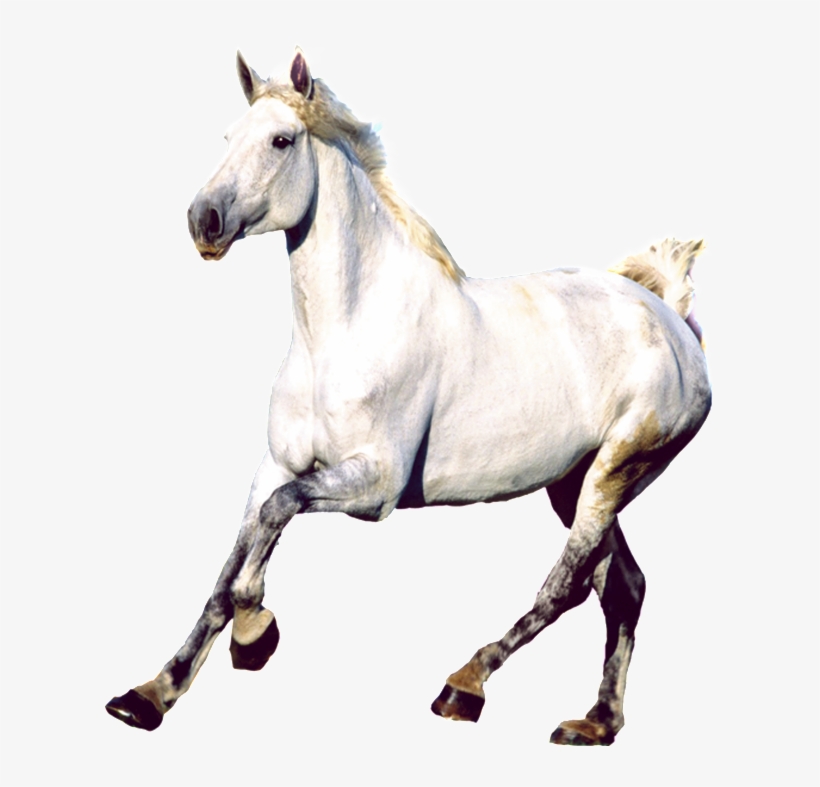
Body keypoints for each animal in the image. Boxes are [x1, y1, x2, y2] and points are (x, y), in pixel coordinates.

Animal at [105, 49, 711, 746]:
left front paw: (255, 633)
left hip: (617, 469)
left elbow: (274, 525)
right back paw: (594, 724)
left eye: (282, 140)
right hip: (574, 482)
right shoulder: (276, 466)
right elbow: (231, 564)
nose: (203, 221)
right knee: (623, 587)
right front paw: (150, 695)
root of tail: (670, 318)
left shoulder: (375, 487)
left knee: (569, 585)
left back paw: (465, 685)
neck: (341, 334)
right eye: (227, 137)